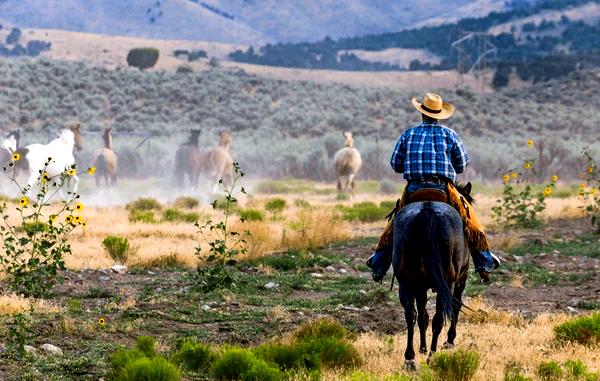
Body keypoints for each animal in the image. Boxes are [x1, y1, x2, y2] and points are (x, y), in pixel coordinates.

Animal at [394, 184, 474, 368]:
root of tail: (427, 210)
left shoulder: (420, 287)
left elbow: (423, 315)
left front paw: (422, 348)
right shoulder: (461, 279)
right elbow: (455, 307)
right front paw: (449, 341)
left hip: (406, 282)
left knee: (411, 315)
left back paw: (410, 358)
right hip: (449, 281)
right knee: (439, 318)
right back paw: (432, 356)